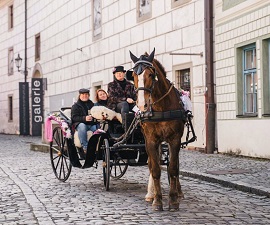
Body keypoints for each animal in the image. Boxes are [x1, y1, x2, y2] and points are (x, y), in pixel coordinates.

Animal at [130, 48, 187, 211]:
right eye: (133, 76)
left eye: (150, 74)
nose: (142, 105)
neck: (161, 107)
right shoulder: (150, 140)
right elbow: (155, 169)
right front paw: (157, 200)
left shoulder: (175, 139)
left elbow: (173, 168)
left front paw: (173, 200)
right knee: (151, 164)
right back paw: (151, 194)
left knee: (174, 165)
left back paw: (178, 192)